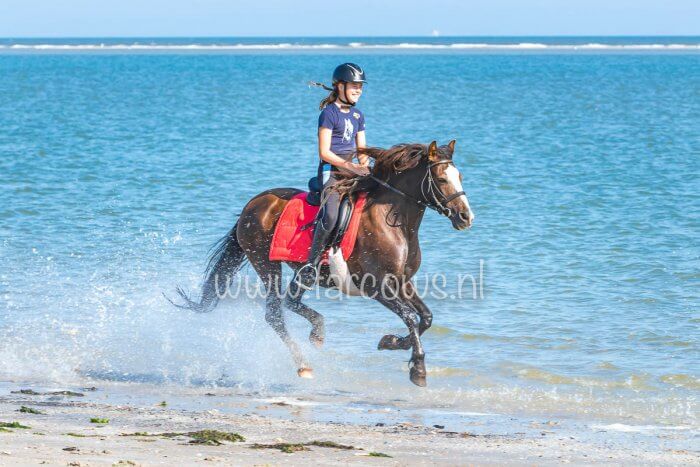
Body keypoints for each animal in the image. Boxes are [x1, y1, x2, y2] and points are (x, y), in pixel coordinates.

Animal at [172, 140, 474, 388]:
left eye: (459, 176)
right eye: (441, 178)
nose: (466, 217)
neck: (393, 221)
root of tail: (252, 204)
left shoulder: (401, 282)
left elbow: (426, 318)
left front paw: (390, 342)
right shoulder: (376, 286)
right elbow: (411, 317)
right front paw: (418, 369)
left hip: (300, 273)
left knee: (290, 302)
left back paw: (316, 332)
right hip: (266, 264)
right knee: (275, 313)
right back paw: (305, 362)